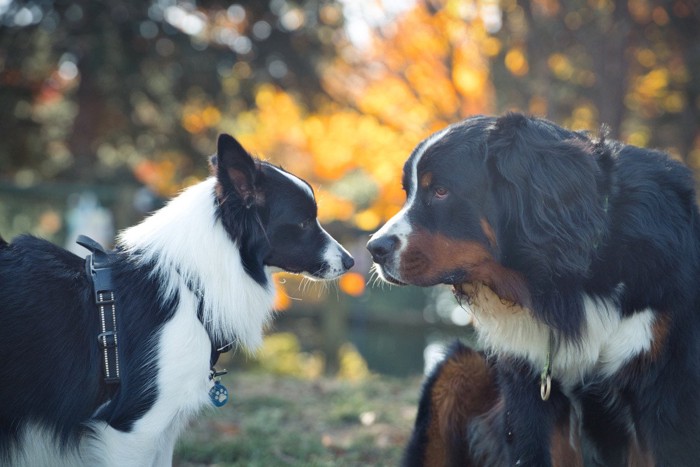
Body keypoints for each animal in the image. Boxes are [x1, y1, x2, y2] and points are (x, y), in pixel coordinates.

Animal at [366, 114, 700, 467]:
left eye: (441, 191)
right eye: (409, 192)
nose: (375, 249)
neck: (567, 283)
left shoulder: (666, 389)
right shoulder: (528, 390)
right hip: (458, 368)